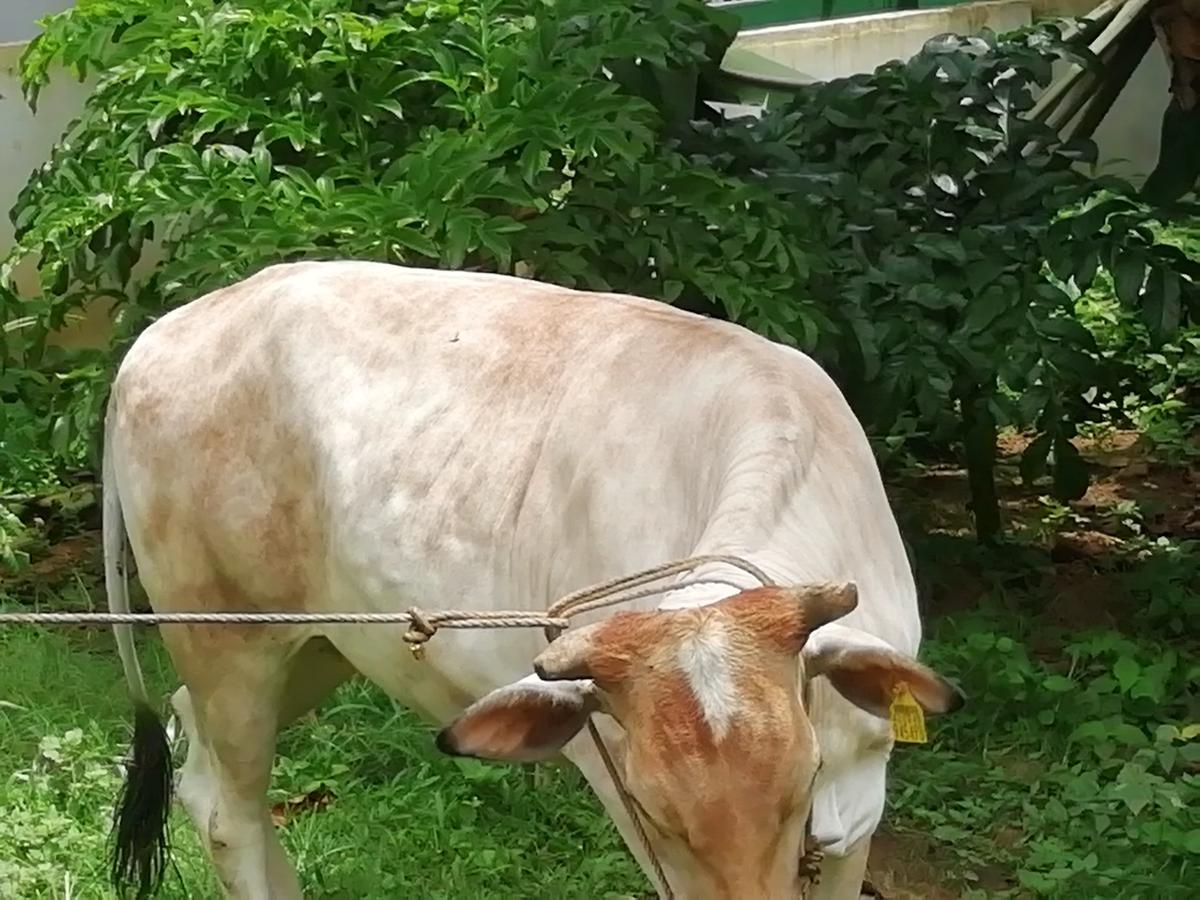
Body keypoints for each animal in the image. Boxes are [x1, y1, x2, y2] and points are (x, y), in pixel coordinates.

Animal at [102, 260, 964, 900]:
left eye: (804, 778)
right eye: (652, 808)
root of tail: (161, 334)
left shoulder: (857, 810)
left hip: (315, 646)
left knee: (198, 761)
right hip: (224, 637)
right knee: (231, 811)